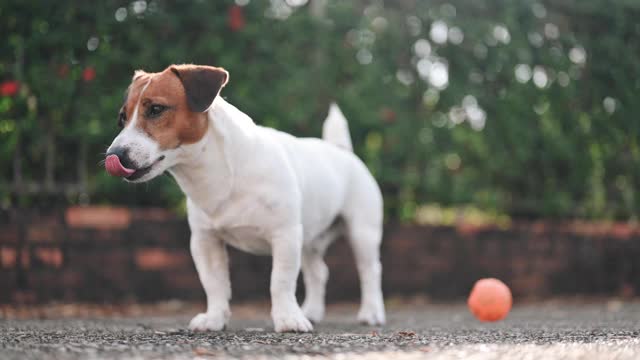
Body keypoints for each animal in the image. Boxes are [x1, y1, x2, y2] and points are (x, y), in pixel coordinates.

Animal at [105, 64, 384, 332]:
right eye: (122, 118)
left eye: (156, 109)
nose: (114, 155)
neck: (218, 172)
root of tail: (341, 150)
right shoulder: (205, 241)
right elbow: (214, 283)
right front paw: (215, 318)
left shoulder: (285, 235)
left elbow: (280, 282)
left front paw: (287, 319)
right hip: (310, 240)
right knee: (318, 273)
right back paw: (312, 312)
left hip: (362, 233)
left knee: (369, 271)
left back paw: (371, 313)